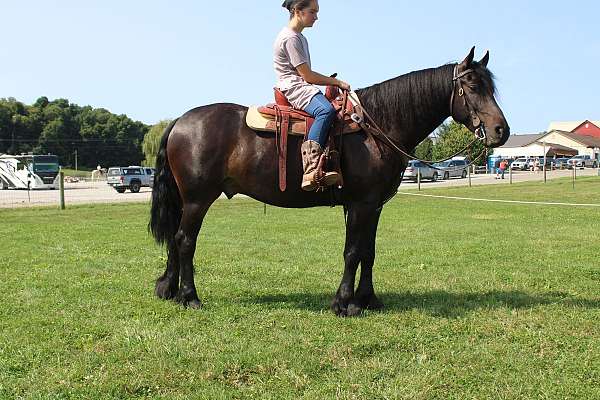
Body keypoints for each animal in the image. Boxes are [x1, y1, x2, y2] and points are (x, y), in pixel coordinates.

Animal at [148, 47, 508, 316]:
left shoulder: (374, 206)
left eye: (491, 86)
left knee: (175, 238)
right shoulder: (360, 204)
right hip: (198, 199)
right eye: (472, 86)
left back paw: (169, 289)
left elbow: (368, 252)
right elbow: (352, 251)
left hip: (186, 200)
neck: (376, 128)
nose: (501, 130)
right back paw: (190, 296)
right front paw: (344, 303)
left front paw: (369, 299)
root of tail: (180, 121)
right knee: (185, 240)